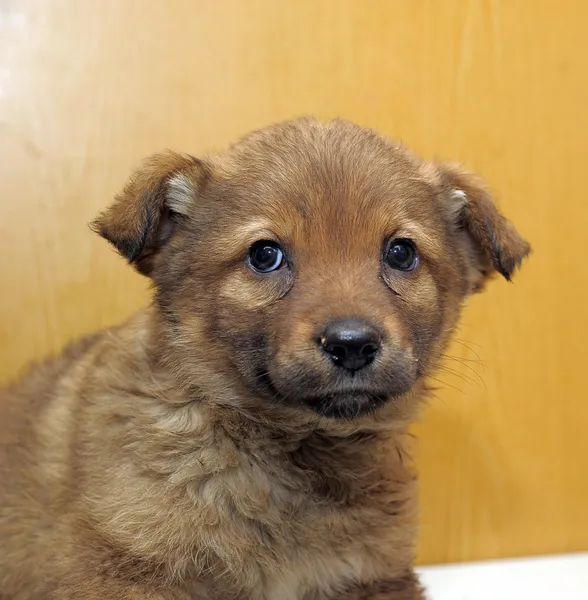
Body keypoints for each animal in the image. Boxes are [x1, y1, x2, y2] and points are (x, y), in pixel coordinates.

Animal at [0, 118, 532, 600]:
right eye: (265, 255)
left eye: (401, 253)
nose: (352, 344)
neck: (289, 454)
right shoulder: (119, 568)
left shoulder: (374, 576)